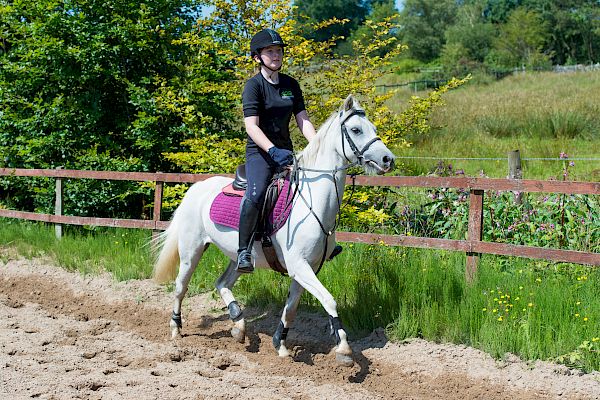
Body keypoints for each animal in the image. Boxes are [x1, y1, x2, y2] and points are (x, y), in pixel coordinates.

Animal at [152, 95, 396, 368]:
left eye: (373, 128)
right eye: (355, 130)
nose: (388, 160)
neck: (311, 202)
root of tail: (197, 188)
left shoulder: (307, 268)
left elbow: (291, 309)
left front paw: (280, 345)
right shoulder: (299, 266)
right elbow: (329, 300)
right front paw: (343, 349)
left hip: (239, 257)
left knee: (221, 282)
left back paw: (238, 324)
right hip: (191, 251)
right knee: (180, 287)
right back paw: (176, 329)